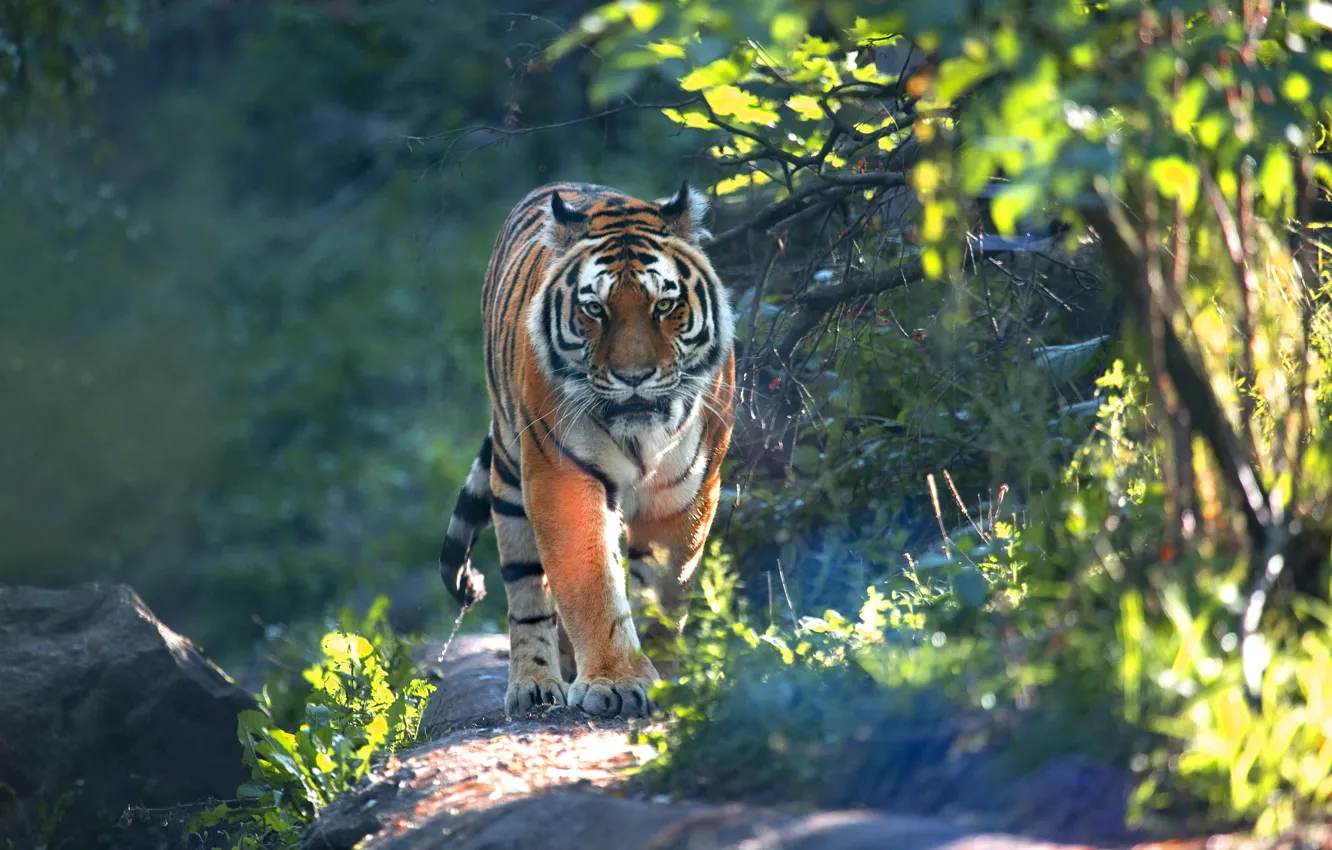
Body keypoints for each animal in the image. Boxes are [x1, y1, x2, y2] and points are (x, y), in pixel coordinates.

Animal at [437, 181, 736, 719]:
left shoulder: (688, 491)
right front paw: (615, 682)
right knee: (528, 595)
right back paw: (536, 683)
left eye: (664, 305)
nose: (634, 377)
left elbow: (665, 589)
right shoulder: (561, 477)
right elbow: (592, 584)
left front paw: (663, 676)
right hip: (511, 476)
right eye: (595, 309)